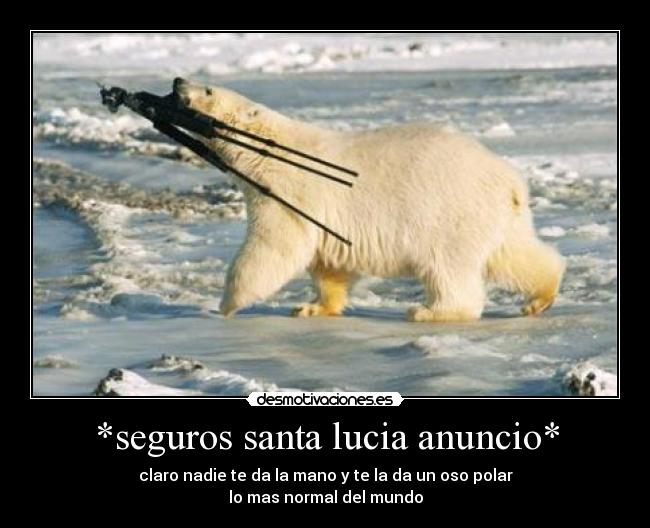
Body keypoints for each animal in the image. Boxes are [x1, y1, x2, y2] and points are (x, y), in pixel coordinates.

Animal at [172, 77, 565, 322]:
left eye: (208, 89)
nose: (177, 81)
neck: (269, 149)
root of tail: (510, 181)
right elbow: (327, 264)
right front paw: (311, 308)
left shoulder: (289, 191)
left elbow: (275, 246)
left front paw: (225, 304)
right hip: (498, 217)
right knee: (513, 254)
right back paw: (540, 297)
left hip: (450, 213)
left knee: (448, 267)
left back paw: (428, 311)